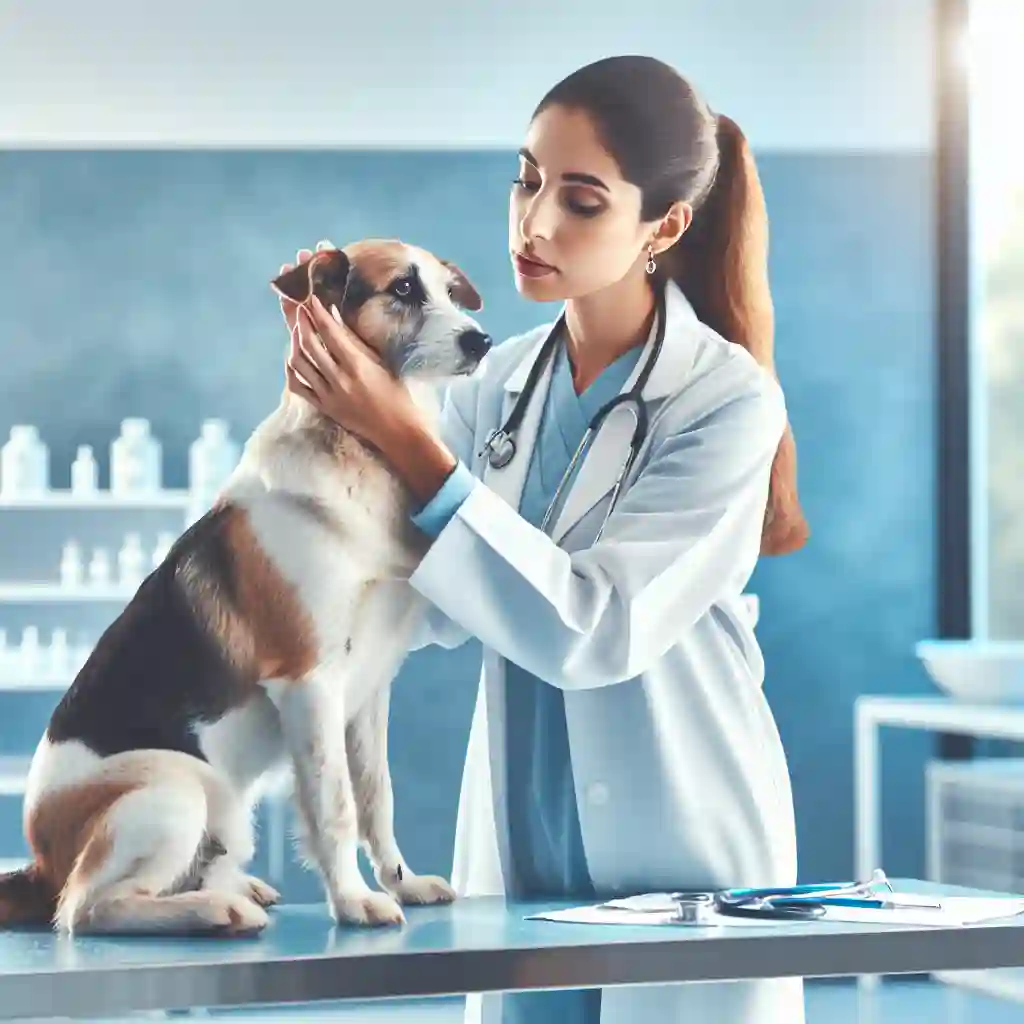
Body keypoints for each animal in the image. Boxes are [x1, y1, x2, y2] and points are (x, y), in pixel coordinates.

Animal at [0, 239, 491, 937]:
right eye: (402, 289)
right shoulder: (309, 681)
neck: (354, 451)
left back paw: (236, 889)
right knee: (87, 907)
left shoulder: (368, 692)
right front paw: (354, 900)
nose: (482, 340)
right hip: (178, 788)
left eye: (450, 291)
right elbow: (336, 807)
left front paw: (403, 881)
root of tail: (40, 861)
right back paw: (217, 909)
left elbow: (377, 798)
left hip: (227, 812)